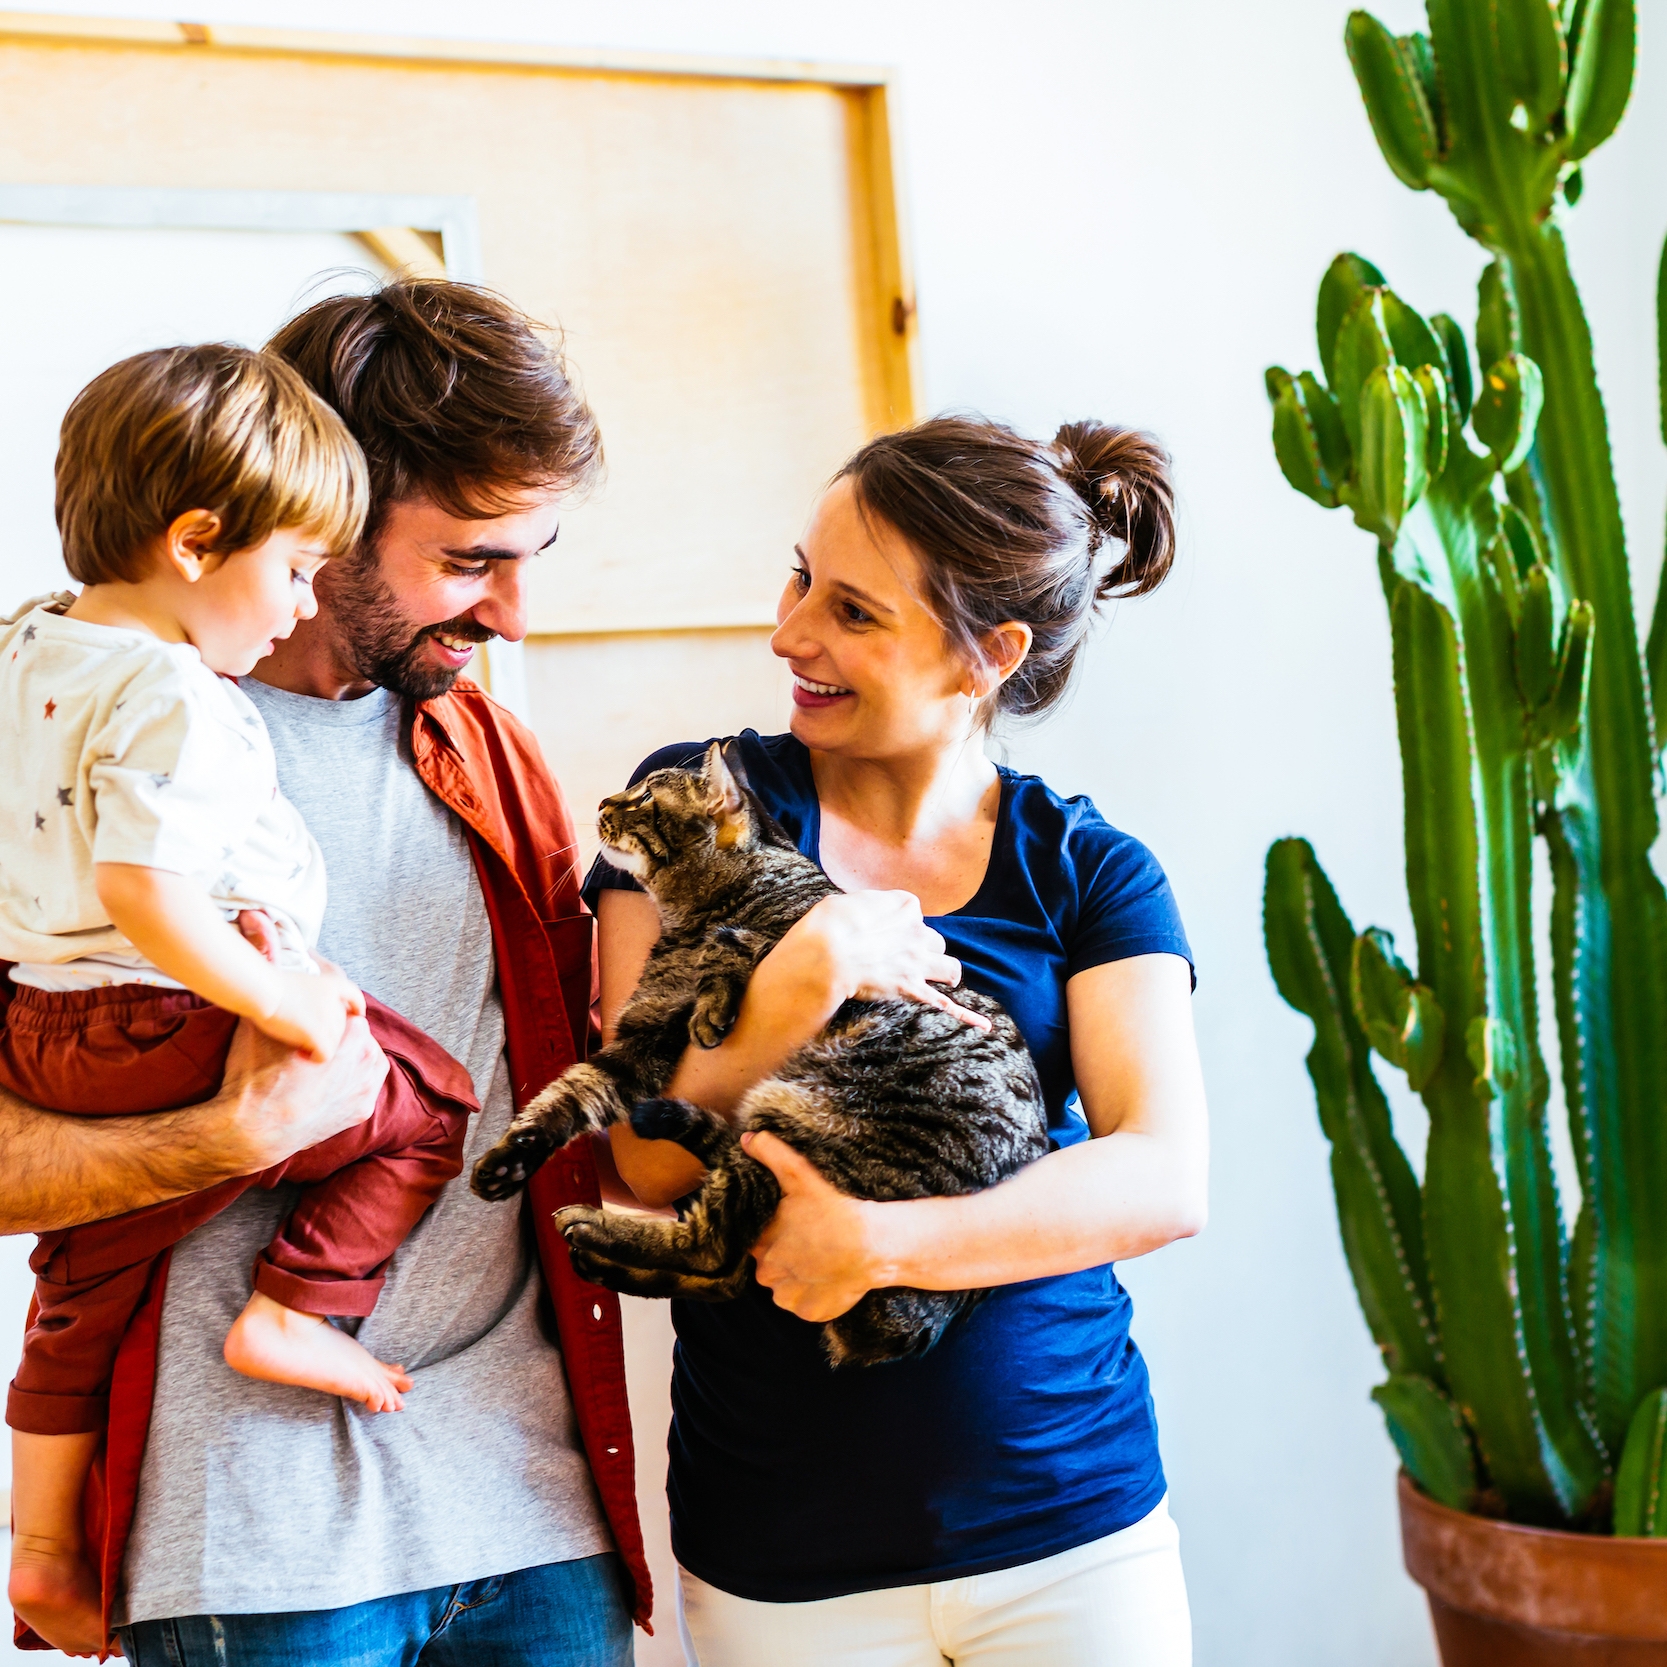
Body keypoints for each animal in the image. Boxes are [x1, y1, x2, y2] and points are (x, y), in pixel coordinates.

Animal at [470, 743, 1040, 1366]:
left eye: (644, 797)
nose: (603, 801)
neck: (696, 914)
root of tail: (919, 1320)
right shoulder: (638, 1041)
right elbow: (565, 1096)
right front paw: (512, 1158)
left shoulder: (802, 938)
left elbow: (742, 941)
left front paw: (716, 995)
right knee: (728, 1270)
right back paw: (598, 1254)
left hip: (793, 1109)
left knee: (714, 1249)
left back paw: (597, 1232)